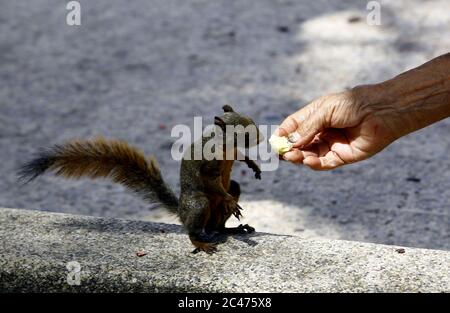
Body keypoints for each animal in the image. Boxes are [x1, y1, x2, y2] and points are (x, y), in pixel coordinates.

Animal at [19, 105, 264, 254]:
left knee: (219, 221)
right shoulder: (209, 164)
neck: (223, 144)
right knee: (194, 229)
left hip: (229, 192)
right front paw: (229, 199)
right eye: (244, 134)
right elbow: (212, 181)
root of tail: (182, 212)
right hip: (199, 204)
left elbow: (240, 157)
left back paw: (233, 229)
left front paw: (253, 164)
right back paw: (202, 242)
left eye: (252, 121)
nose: (261, 138)